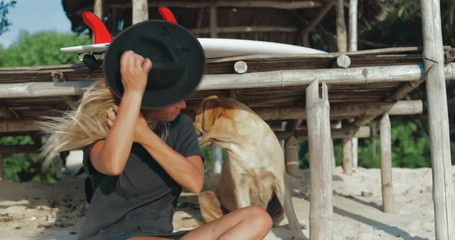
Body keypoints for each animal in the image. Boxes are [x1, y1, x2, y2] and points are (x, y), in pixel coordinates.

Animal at [194, 95, 304, 238]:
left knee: (275, 222)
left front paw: (300, 235)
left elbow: (292, 216)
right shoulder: (241, 185)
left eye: (195, 114)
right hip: (204, 197)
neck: (244, 143)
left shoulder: (280, 182)